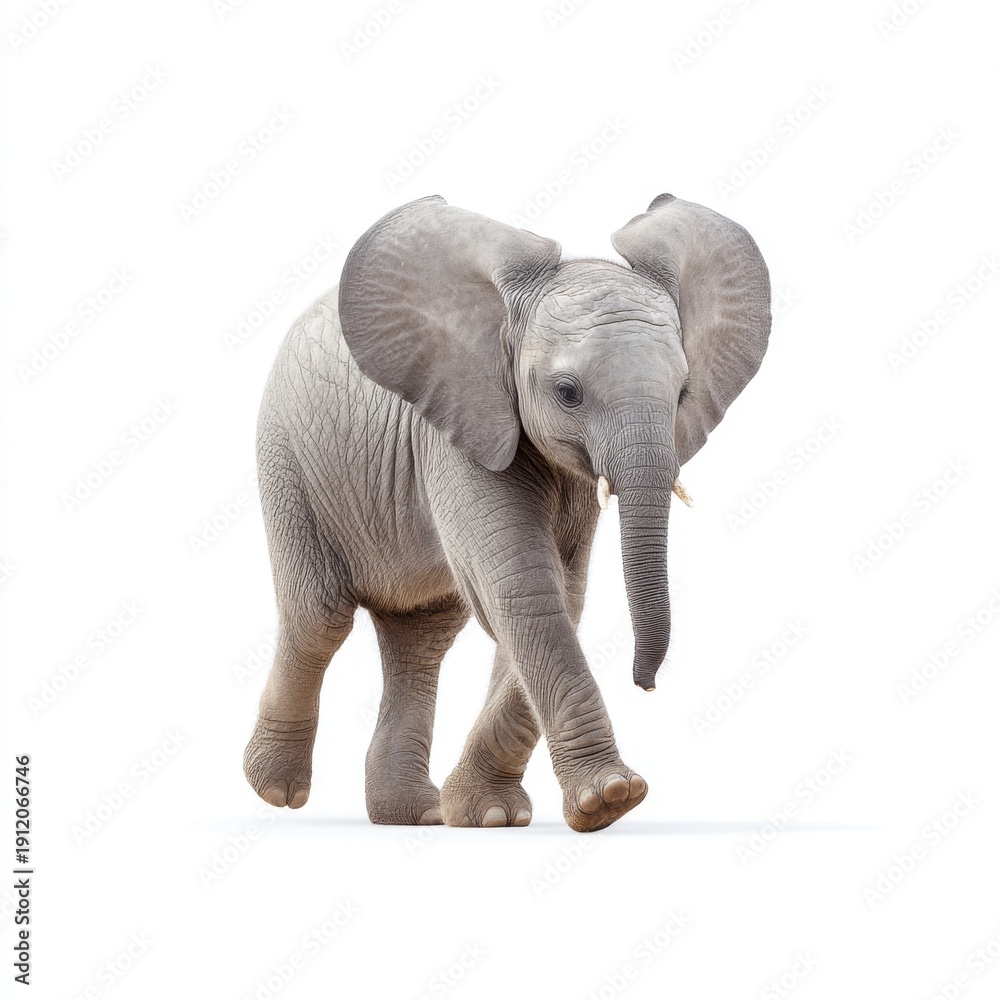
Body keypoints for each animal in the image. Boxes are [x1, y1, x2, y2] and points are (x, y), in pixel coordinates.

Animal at [243, 192, 770, 832]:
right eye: (567, 392)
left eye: (683, 392)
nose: (645, 683)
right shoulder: (459, 429)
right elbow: (521, 587)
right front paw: (611, 800)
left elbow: (562, 594)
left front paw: (491, 814)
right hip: (287, 457)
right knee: (318, 618)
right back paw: (278, 791)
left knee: (421, 638)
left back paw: (416, 813)